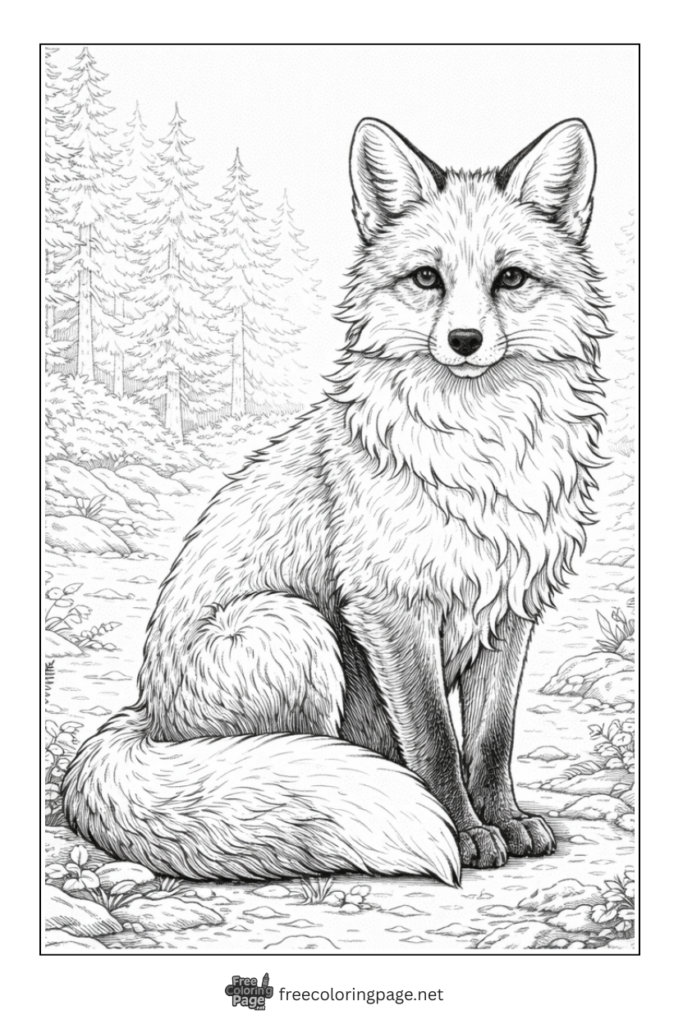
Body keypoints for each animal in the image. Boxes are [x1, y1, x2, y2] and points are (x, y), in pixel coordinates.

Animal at [63, 117, 609, 886]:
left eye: (510, 279)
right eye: (426, 278)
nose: (464, 341)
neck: (481, 460)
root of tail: (143, 715)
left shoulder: (511, 609)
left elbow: (490, 741)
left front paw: (503, 820)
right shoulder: (390, 606)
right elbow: (436, 742)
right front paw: (464, 833)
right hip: (293, 628)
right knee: (289, 764)